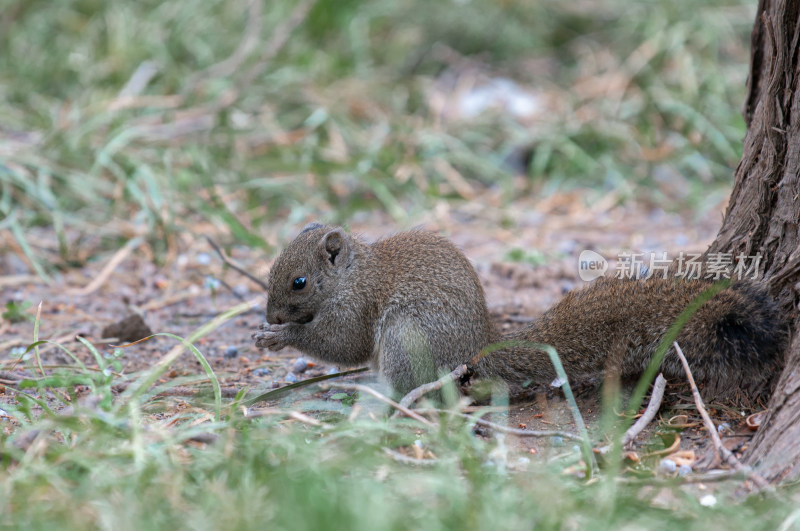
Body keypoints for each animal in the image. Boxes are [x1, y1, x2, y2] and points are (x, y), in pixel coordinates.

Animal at [253, 222, 792, 402]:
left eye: (299, 282)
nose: (273, 315)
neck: (352, 274)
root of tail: (476, 351)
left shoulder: (357, 305)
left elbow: (342, 343)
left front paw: (281, 339)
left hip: (407, 336)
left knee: (419, 387)